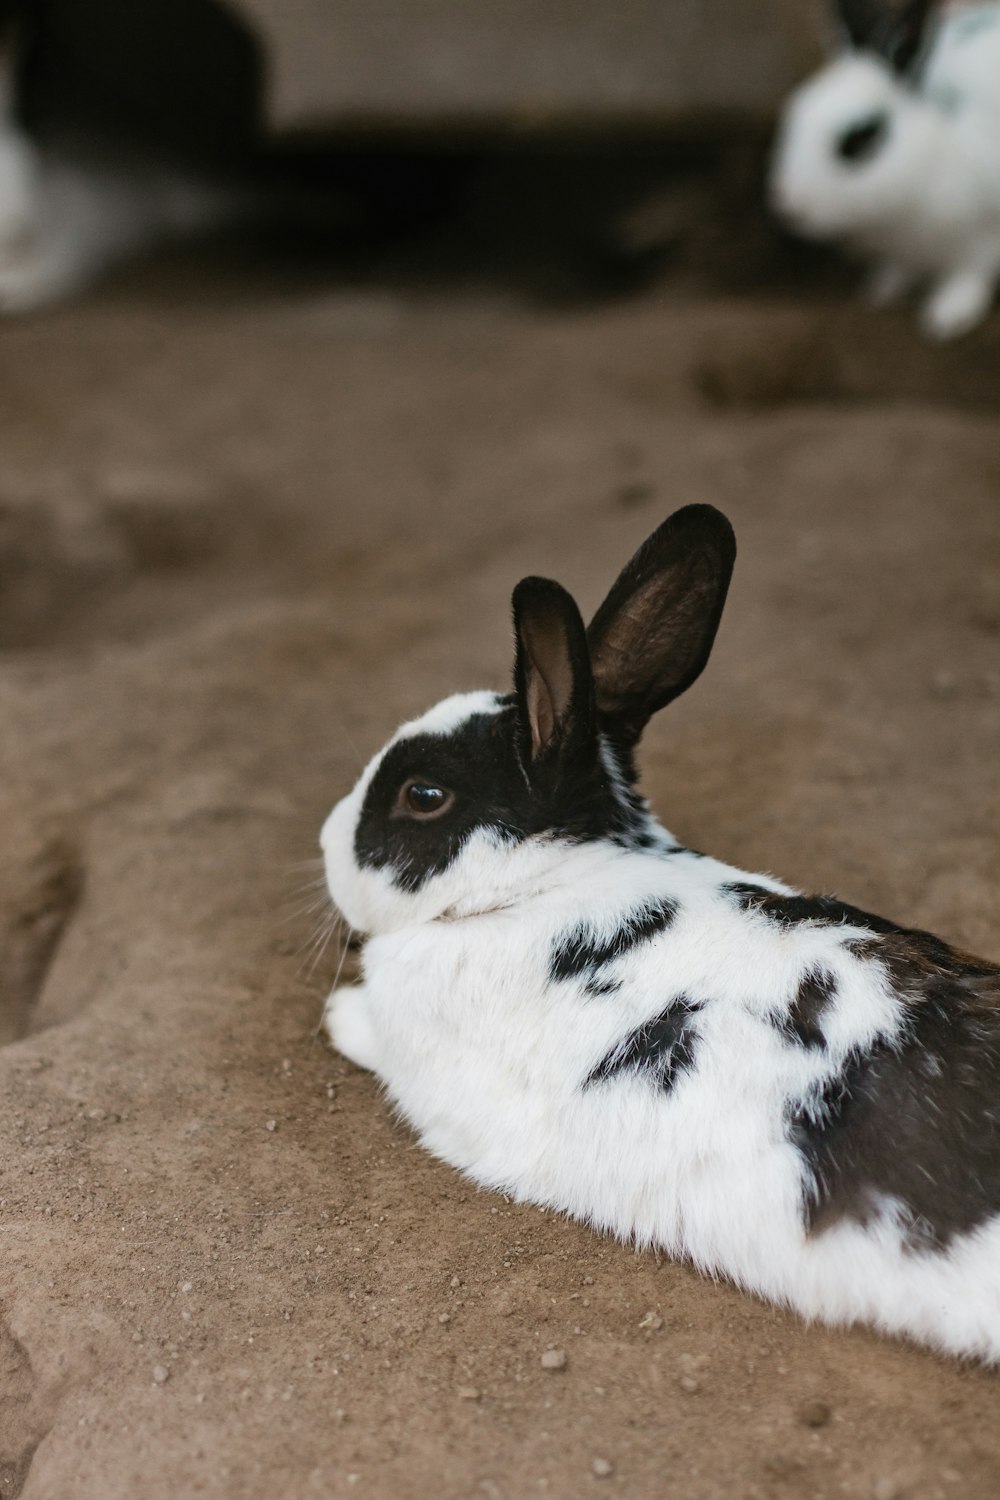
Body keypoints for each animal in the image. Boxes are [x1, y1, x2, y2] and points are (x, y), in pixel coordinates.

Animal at [773, 0, 1000, 340]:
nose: (789, 208)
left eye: (860, 138)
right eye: (796, 114)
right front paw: (881, 291)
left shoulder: (980, 240)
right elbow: (898, 271)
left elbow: (967, 276)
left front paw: (945, 318)